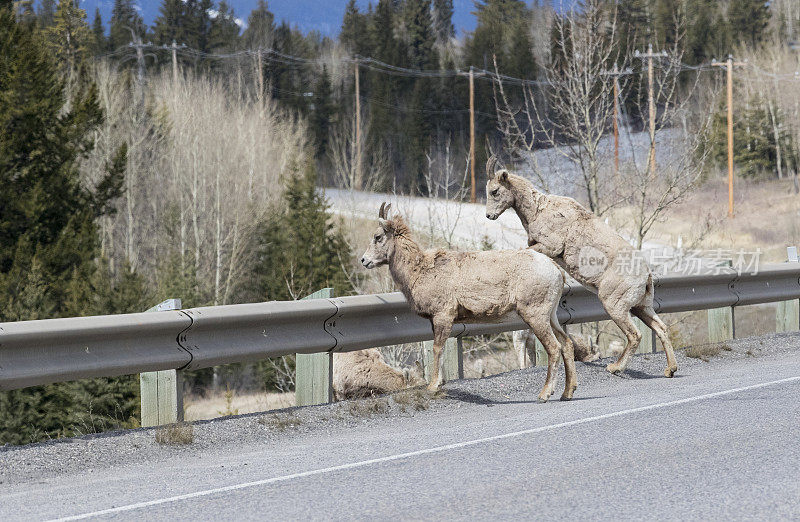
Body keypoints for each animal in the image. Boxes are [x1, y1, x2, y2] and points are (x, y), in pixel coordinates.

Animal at [360, 201, 576, 400]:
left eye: (378, 237)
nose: (364, 260)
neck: (418, 273)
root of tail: (556, 271)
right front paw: (440, 382)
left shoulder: (443, 315)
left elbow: (437, 348)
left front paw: (433, 386)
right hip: (551, 314)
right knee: (566, 344)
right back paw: (567, 392)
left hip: (535, 314)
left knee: (554, 347)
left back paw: (545, 393)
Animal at [484, 160, 680, 376]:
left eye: (494, 191)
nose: (489, 215)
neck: (538, 210)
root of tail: (646, 277)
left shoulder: (549, 247)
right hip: (641, 307)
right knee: (661, 328)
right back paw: (670, 370)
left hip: (615, 306)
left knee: (634, 335)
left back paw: (615, 367)